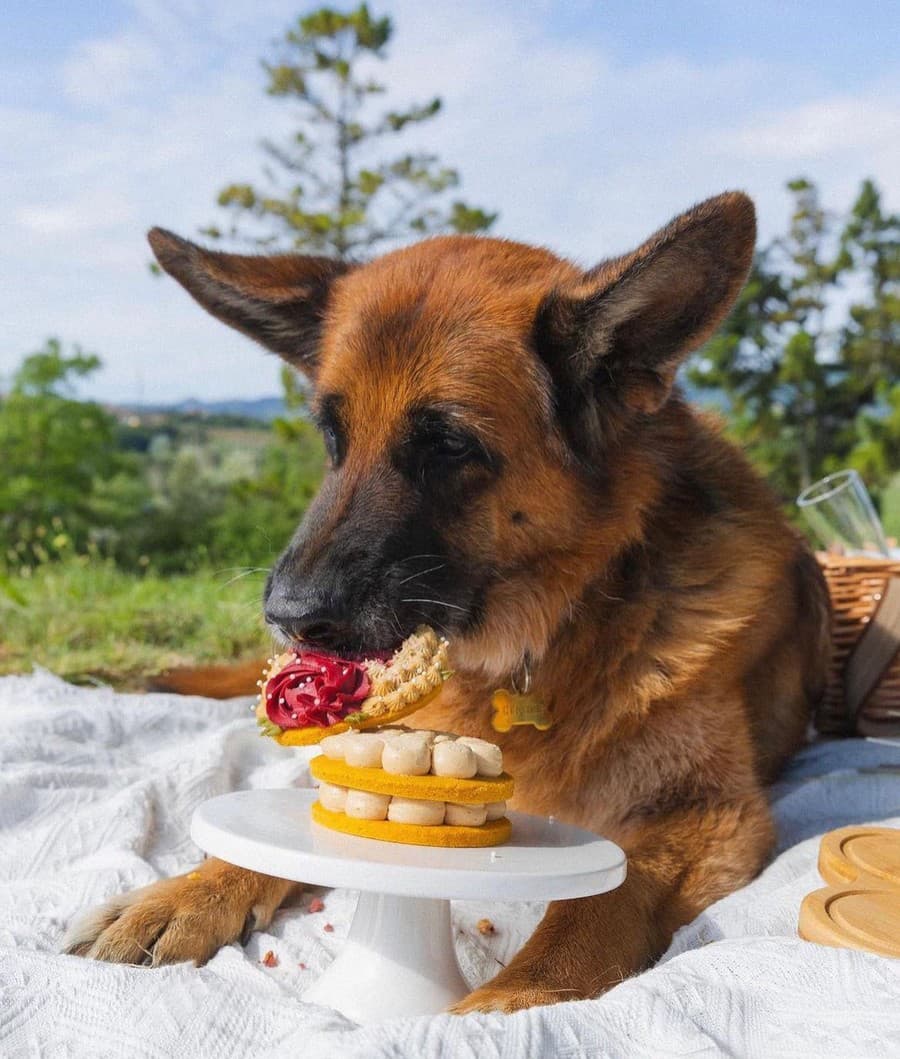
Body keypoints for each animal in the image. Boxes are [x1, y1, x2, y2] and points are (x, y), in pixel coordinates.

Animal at [66, 194, 830, 1012]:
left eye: (449, 445)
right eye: (332, 436)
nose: (287, 617)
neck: (548, 636)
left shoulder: (708, 815)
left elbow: (598, 904)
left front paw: (509, 1002)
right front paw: (183, 893)